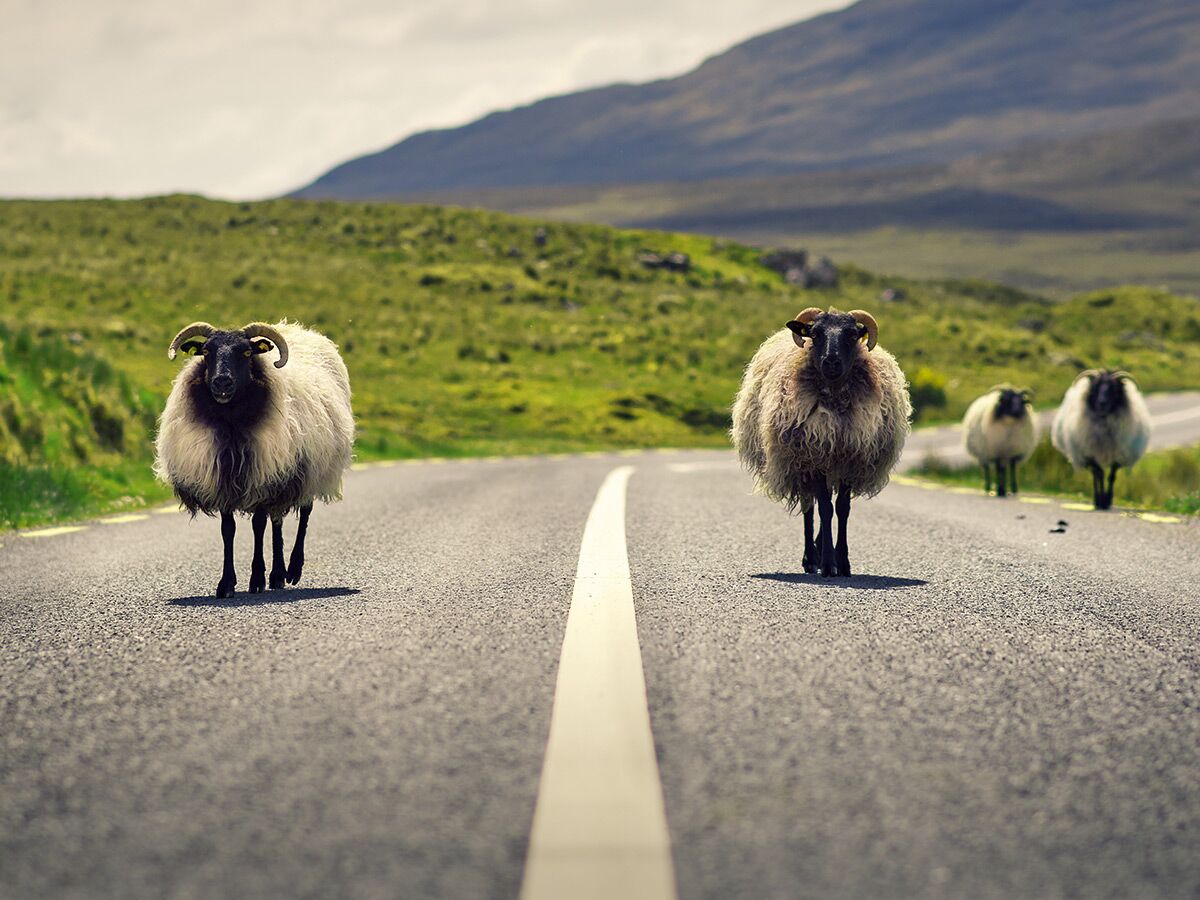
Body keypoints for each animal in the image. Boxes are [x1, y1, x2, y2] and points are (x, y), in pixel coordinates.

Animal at [154, 320, 354, 598]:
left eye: (247, 353)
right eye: (206, 352)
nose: (222, 383)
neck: (232, 425)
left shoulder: (262, 476)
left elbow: (259, 526)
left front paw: (257, 579)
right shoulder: (225, 480)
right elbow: (228, 531)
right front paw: (226, 583)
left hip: (312, 468)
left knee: (304, 514)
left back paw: (292, 570)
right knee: (278, 521)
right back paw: (278, 575)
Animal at [731, 307, 911, 577]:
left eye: (852, 335)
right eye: (815, 334)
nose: (831, 362)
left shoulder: (849, 459)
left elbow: (842, 509)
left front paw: (843, 562)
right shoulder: (813, 457)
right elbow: (825, 509)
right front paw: (827, 564)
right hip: (800, 465)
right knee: (810, 508)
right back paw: (811, 558)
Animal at [1051, 369, 1150, 510]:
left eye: (1114, 389)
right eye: (1095, 387)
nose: (1102, 403)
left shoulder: (1117, 455)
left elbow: (1111, 477)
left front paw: (1108, 500)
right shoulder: (1089, 454)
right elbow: (1099, 474)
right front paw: (1100, 501)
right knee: (1095, 475)